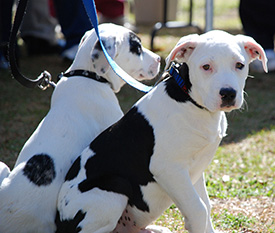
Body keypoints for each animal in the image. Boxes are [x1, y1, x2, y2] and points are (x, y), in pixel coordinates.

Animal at [55, 31, 268, 233]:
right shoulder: (169, 168)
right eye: (206, 67)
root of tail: (59, 220)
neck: (191, 101)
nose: (228, 93)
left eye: (239, 65)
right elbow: (199, 210)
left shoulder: (195, 169)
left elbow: (205, 207)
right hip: (114, 186)